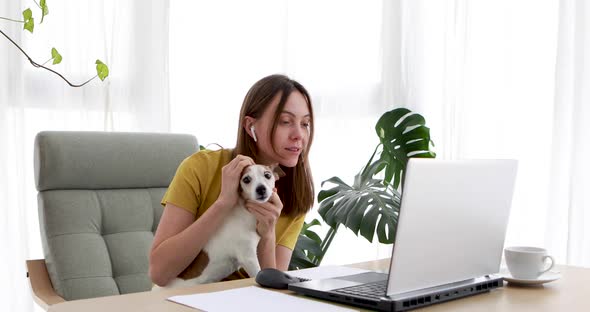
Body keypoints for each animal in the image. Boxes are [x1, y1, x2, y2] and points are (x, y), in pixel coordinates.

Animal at [156, 165, 286, 288]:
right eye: (246, 179)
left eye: (267, 175)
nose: (261, 189)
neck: (245, 212)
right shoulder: (249, 258)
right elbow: (257, 272)